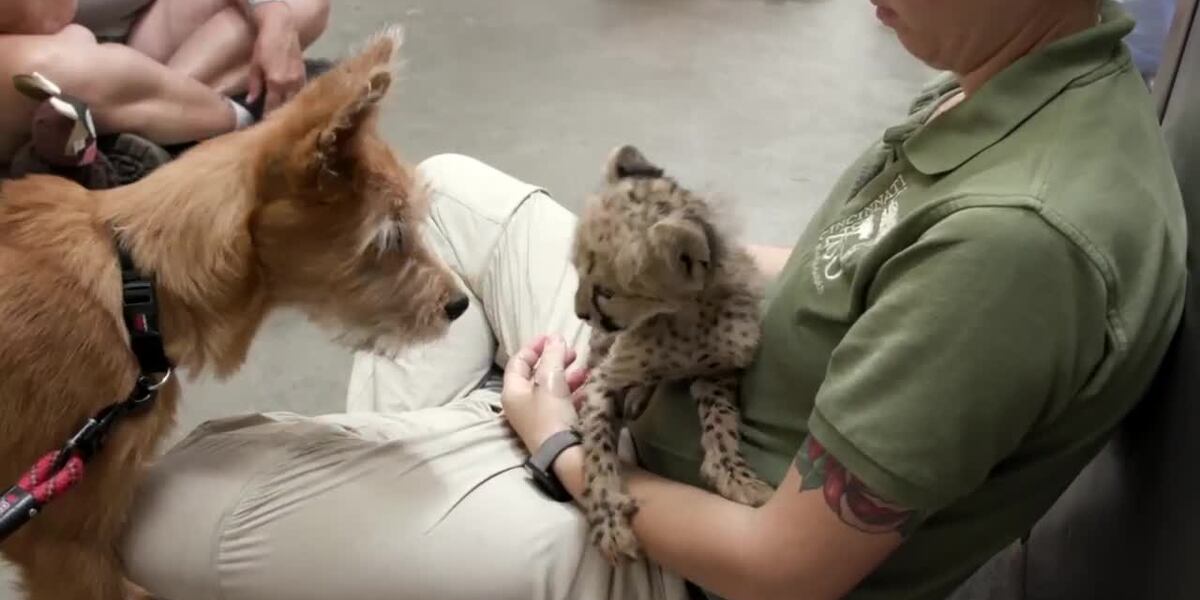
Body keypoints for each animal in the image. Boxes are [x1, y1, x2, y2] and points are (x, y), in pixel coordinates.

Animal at [573, 144, 777, 561]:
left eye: (606, 291)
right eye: (579, 273)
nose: (579, 313)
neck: (681, 317)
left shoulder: (719, 370)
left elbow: (720, 419)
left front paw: (733, 472)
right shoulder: (604, 379)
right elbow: (597, 445)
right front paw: (608, 516)